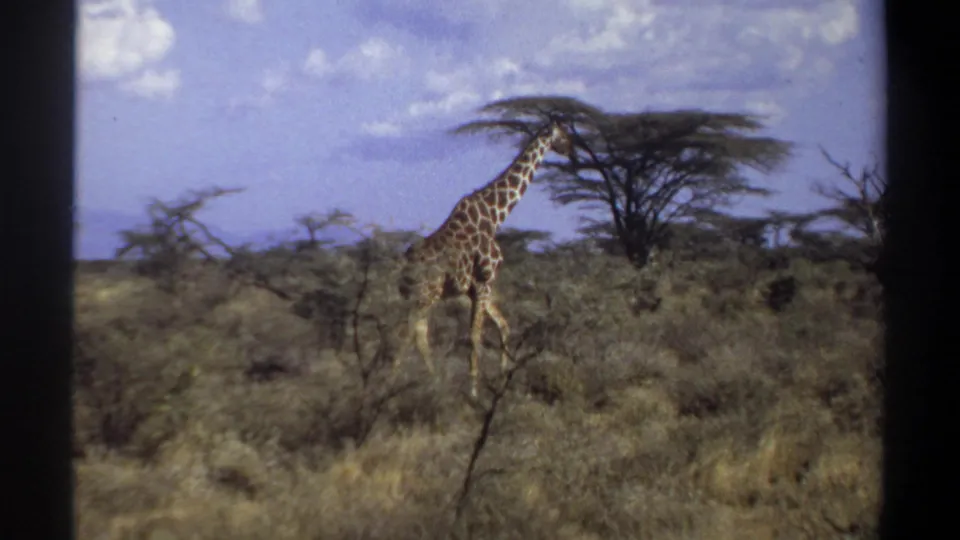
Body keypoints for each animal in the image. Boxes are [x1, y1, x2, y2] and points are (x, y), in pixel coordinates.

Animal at [393, 121, 574, 398]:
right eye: (563, 135)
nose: (572, 153)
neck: (495, 216)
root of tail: (402, 269)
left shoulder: (476, 288)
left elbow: (503, 325)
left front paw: (501, 378)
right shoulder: (483, 282)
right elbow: (475, 336)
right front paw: (474, 392)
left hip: (425, 297)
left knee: (419, 334)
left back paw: (434, 382)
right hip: (424, 296)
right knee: (408, 333)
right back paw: (389, 381)